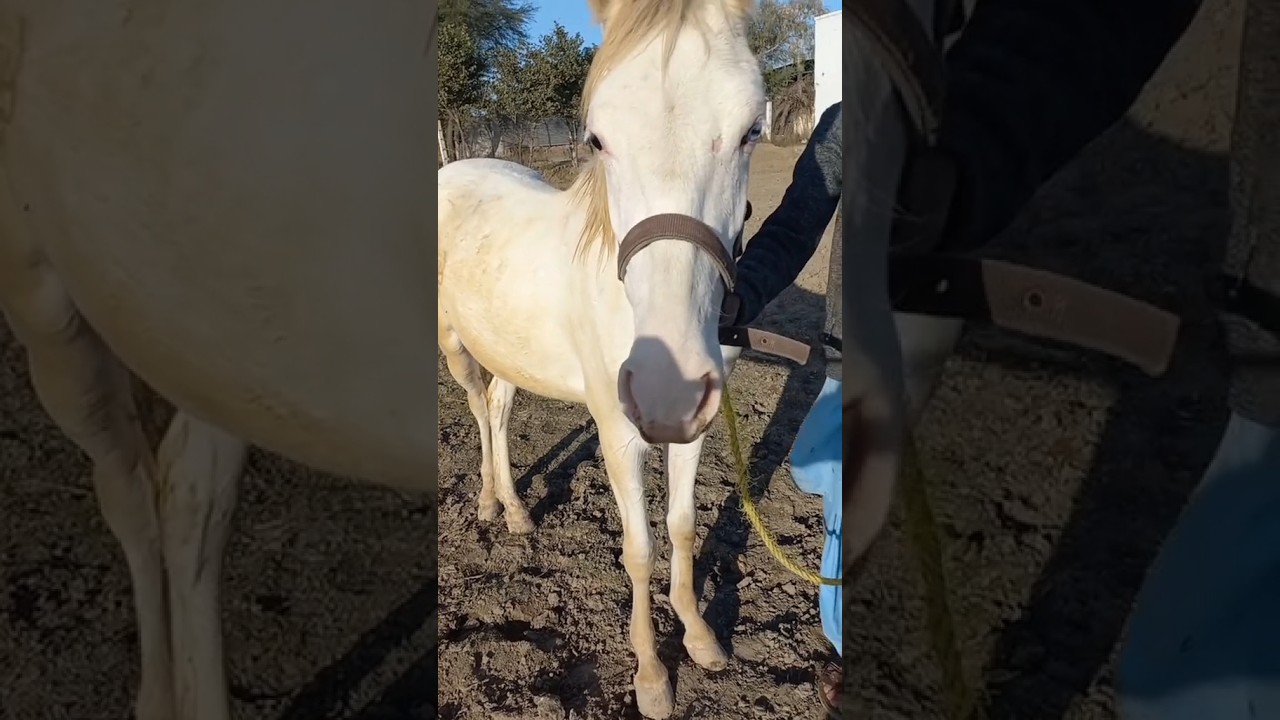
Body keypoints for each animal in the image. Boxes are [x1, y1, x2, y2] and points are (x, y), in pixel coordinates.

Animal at [437, 0, 767, 716]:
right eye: (598, 138)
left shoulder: (693, 425)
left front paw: (700, 638)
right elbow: (638, 549)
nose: (668, 385)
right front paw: (651, 676)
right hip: (454, 346)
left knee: (499, 410)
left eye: (750, 131)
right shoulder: (618, 431)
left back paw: (516, 512)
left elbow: (681, 527)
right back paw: (487, 503)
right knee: (477, 410)